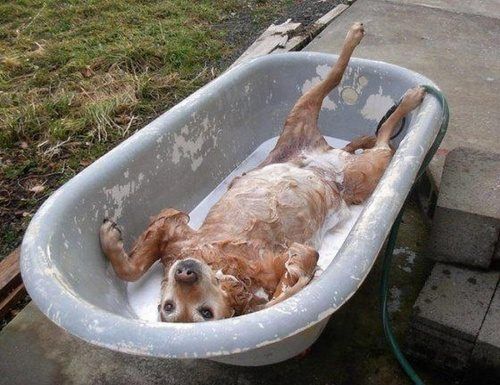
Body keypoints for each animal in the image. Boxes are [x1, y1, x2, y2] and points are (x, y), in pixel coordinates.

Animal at [98, 23, 426, 320]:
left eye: (204, 311)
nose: (185, 272)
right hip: (357, 171)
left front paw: (110, 241)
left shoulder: (174, 235)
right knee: (379, 137)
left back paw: (390, 77)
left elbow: (131, 268)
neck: (219, 260)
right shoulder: (179, 242)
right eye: (171, 307)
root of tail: (324, 157)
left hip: (305, 122)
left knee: (345, 90)